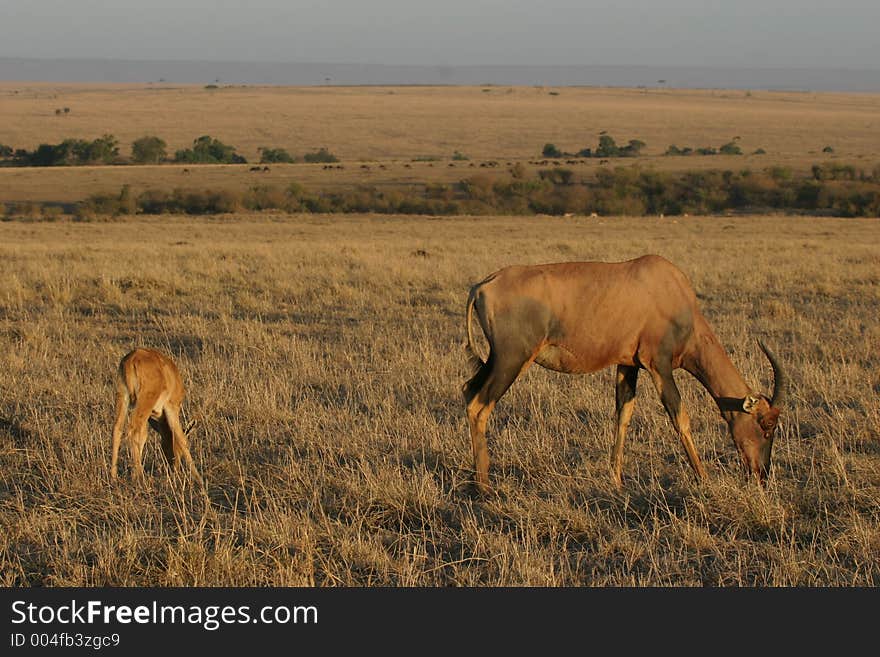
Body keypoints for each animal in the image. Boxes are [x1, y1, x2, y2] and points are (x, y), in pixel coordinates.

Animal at [464, 255, 788, 492]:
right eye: (766, 425)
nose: (761, 476)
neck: (668, 288)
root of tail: (482, 286)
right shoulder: (659, 365)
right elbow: (680, 417)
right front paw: (705, 479)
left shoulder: (628, 365)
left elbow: (623, 415)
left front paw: (617, 482)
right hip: (512, 360)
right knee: (479, 406)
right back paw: (485, 488)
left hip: (496, 360)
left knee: (468, 391)